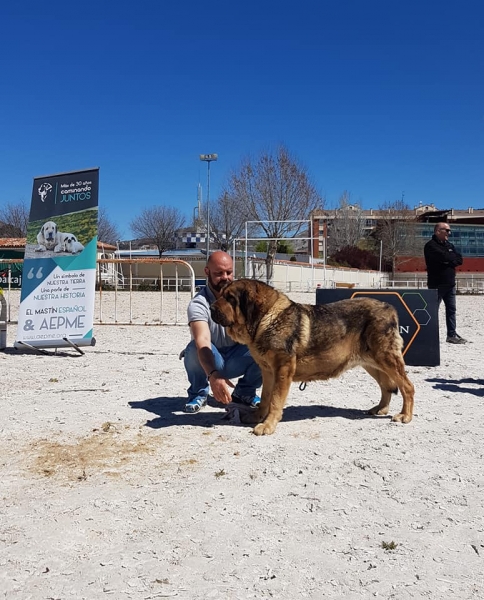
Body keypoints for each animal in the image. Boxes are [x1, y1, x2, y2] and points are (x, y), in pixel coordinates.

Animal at [210, 276, 414, 436]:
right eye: (221, 294)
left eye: (230, 298)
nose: (211, 308)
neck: (265, 319)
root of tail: (389, 308)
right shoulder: (267, 372)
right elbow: (266, 397)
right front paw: (258, 417)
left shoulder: (282, 370)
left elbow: (275, 400)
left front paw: (267, 425)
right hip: (372, 363)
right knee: (386, 387)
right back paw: (380, 408)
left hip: (386, 359)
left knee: (407, 387)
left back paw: (405, 415)